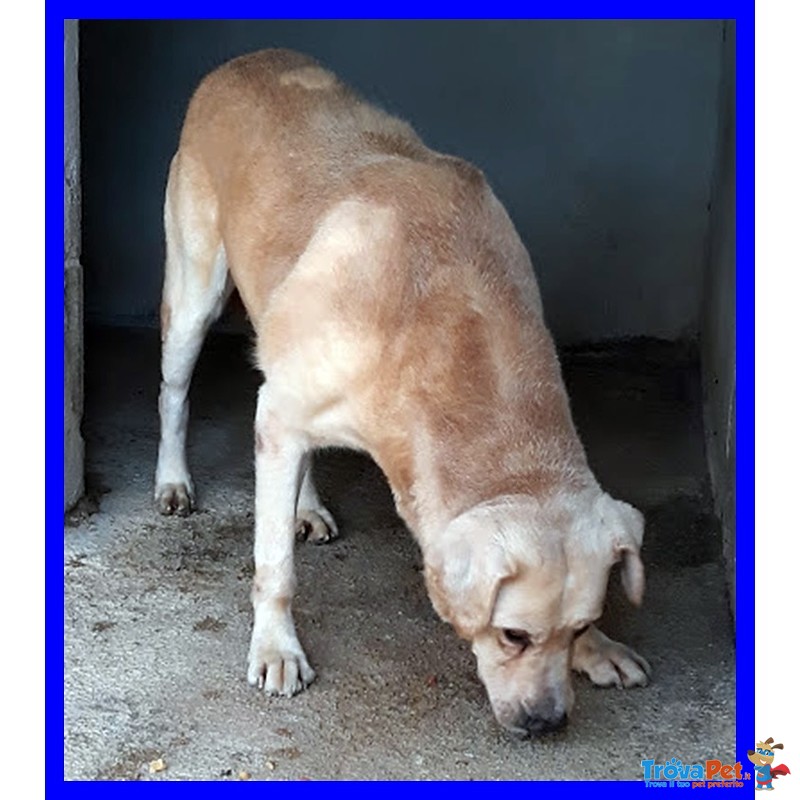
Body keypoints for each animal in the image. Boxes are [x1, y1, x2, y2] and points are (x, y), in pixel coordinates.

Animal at [155, 48, 648, 736]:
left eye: (576, 627)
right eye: (512, 635)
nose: (548, 724)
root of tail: (244, 61)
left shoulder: (289, 412)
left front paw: (601, 650)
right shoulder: (278, 417)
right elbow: (274, 567)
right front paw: (276, 648)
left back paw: (307, 505)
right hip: (195, 297)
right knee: (174, 395)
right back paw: (173, 479)